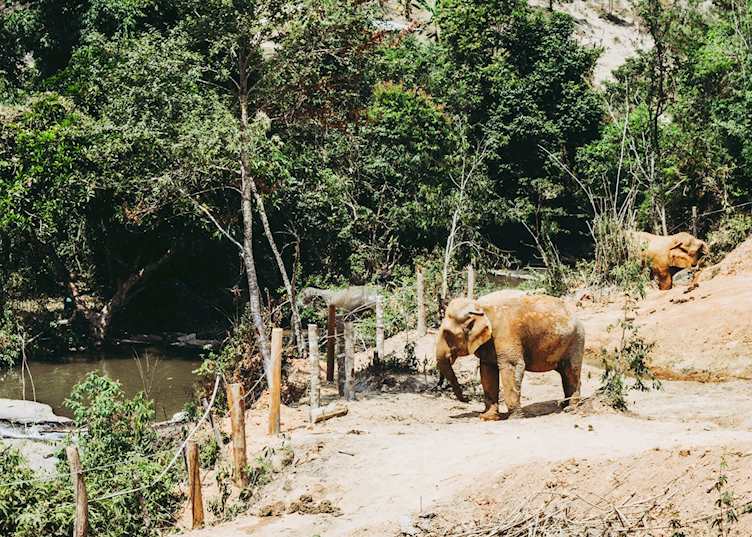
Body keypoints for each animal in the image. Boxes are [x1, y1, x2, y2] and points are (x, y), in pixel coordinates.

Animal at [435, 290, 584, 421]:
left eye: (447, 334)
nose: (467, 399)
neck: (481, 308)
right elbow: (487, 371)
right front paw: (487, 417)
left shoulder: (506, 334)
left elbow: (512, 366)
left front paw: (514, 417)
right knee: (565, 374)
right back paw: (563, 405)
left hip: (576, 340)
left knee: (571, 371)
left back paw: (570, 408)